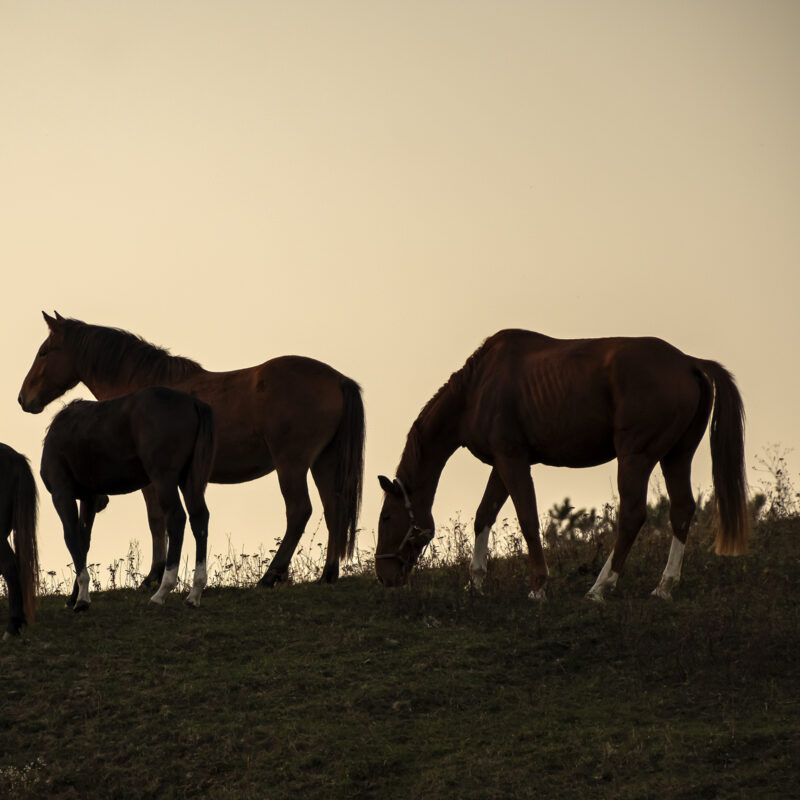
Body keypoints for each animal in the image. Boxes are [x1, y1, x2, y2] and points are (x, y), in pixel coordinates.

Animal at [39, 386, 216, 608]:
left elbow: (71, 538)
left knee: (176, 518)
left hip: (164, 479)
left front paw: (81, 599)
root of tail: (193, 403)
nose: (104, 502)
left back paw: (161, 592)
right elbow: (83, 541)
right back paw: (194, 594)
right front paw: (75, 596)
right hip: (189, 481)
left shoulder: (62, 494)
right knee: (199, 519)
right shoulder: (89, 497)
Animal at [376, 330, 752, 600]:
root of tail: (689, 362)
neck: (477, 388)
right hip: (675, 456)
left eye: (387, 518)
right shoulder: (502, 463)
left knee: (632, 515)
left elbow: (528, 519)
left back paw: (600, 588)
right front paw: (475, 582)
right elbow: (484, 515)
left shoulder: (512, 461)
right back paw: (663, 586)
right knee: (682, 510)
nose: (383, 576)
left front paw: (538, 587)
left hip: (636, 457)